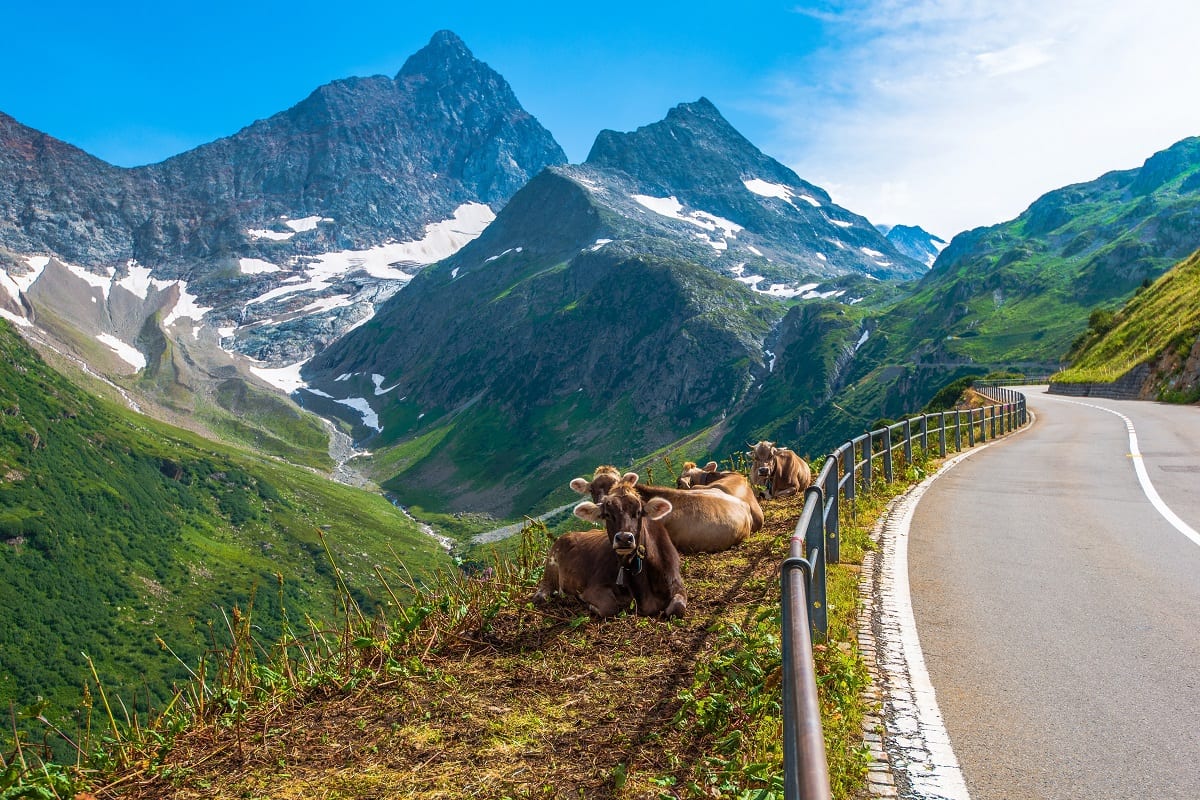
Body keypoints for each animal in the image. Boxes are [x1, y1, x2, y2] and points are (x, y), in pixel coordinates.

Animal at [535, 474, 686, 618]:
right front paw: (589, 605)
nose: (624, 538)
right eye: (607, 514)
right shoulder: (594, 587)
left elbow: (677, 608)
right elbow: (610, 607)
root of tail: (568, 535)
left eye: (638, 512)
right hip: (550, 566)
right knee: (542, 592)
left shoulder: (676, 582)